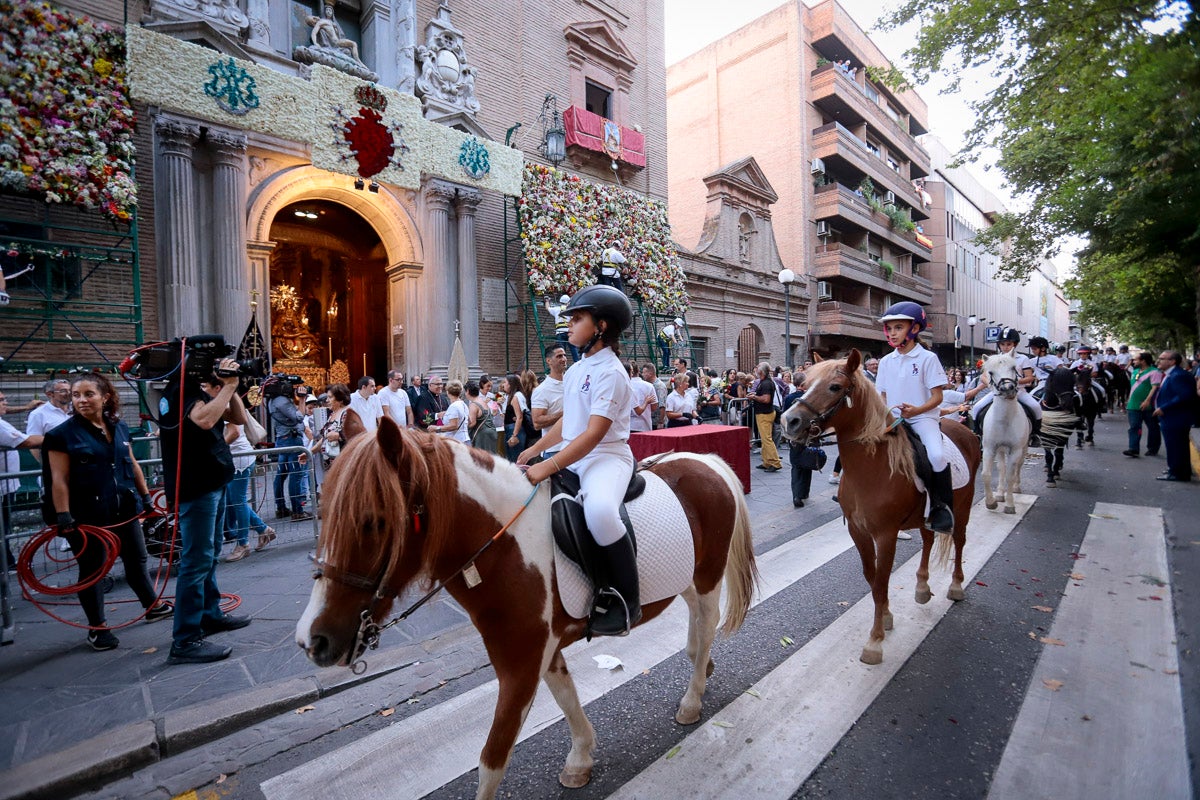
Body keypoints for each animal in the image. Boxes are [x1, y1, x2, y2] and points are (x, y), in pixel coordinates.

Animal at [294, 419, 753, 800]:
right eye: (324, 512)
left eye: (373, 521)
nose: (312, 640)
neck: (503, 546)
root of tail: (706, 460)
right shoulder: (539, 652)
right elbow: (566, 698)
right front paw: (580, 760)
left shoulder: (520, 662)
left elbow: (492, 760)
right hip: (687, 576)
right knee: (697, 622)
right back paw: (702, 664)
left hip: (708, 574)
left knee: (707, 621)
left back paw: (692, 699)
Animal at [777, 350, 984, 662]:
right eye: (803, 382)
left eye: (835, 387)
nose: (789, 421)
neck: (873, 465)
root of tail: (964, 429)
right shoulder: (858, 531)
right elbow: (872, 577)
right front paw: (886, 617)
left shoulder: (886, 535)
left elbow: (882, 580)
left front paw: (874, 641)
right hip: (925, 515)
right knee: (928, 539)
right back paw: (922, 587)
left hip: (963, 507)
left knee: (959, 541)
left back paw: (956, 586)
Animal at [979, 355, 1027, 513]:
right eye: (991, 372)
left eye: (1013, 368)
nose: (1007, 389)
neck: (1005, 420)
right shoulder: (989, 448)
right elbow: (986, 474)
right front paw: (991, 502)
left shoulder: (1016, 450)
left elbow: (1010, 476)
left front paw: (1010, 505)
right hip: (1000, 449)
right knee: (1001, 468)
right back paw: (1000, 494)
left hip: (1024, 448)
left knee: (1018, 466)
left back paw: (1016, 487)